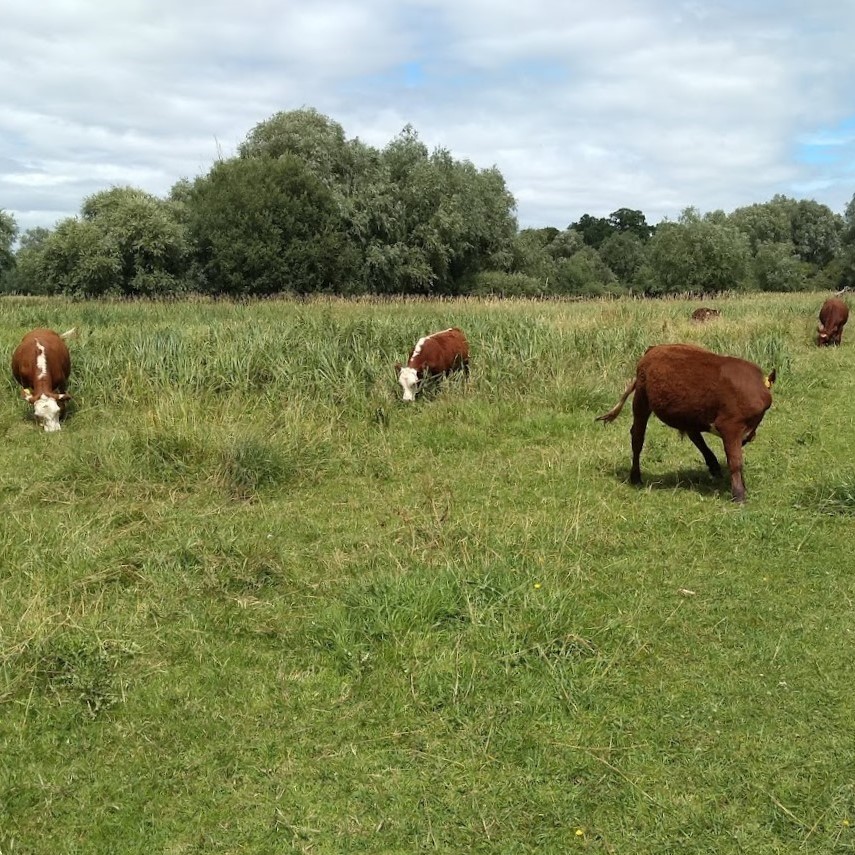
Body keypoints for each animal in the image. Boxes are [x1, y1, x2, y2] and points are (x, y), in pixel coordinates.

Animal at [596, 342, 776, 502]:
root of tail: (654, 348)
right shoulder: (730, 427)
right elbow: (735, 461)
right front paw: (739, 495)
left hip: (687, 411)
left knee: (694, 435)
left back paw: (714, 467)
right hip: (641, 400)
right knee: (637, 438)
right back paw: (635, 477)